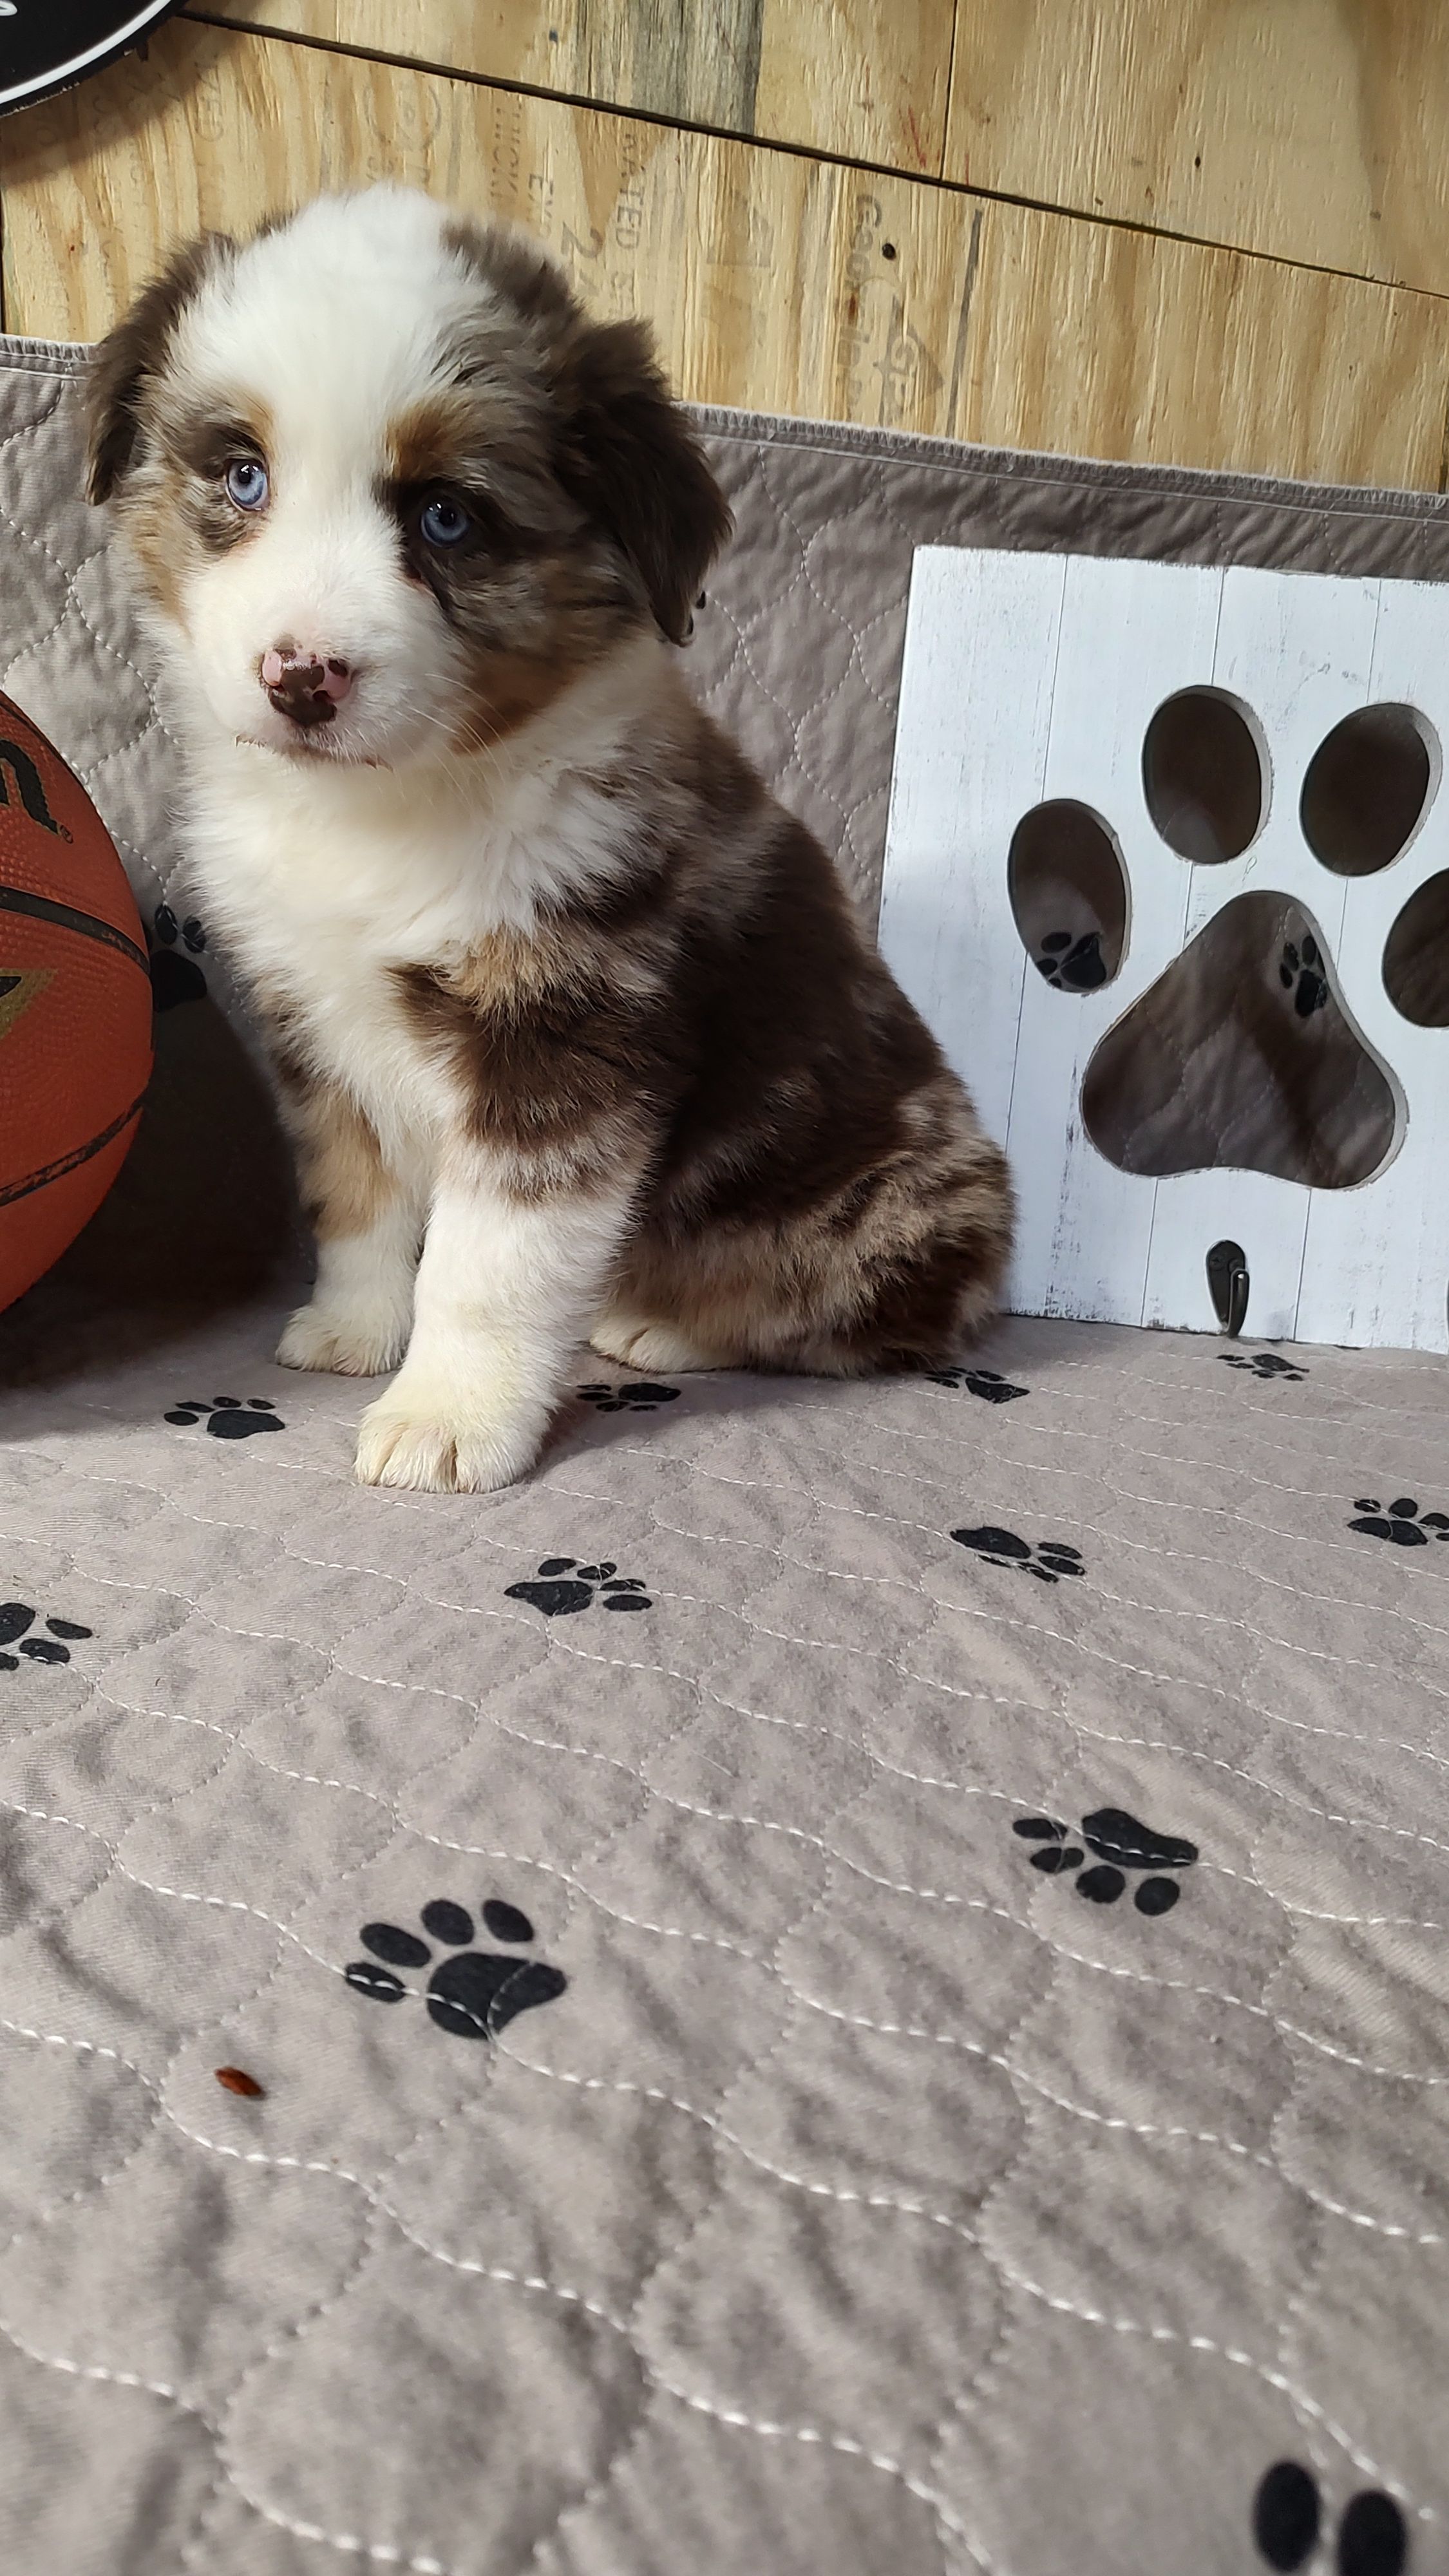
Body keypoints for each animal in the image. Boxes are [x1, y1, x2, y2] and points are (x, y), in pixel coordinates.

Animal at [86, 186, 1012, 1493]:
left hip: (894, 1197)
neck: (390, 806)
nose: (301, 678)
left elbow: (490, 1263)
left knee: (863, 1319)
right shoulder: (319, 1025)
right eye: (244, 477)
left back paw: (666, 1325)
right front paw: (356, 1332)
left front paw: (449, 1420)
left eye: (446, 516)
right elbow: (358, 1203)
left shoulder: (565, 1032)